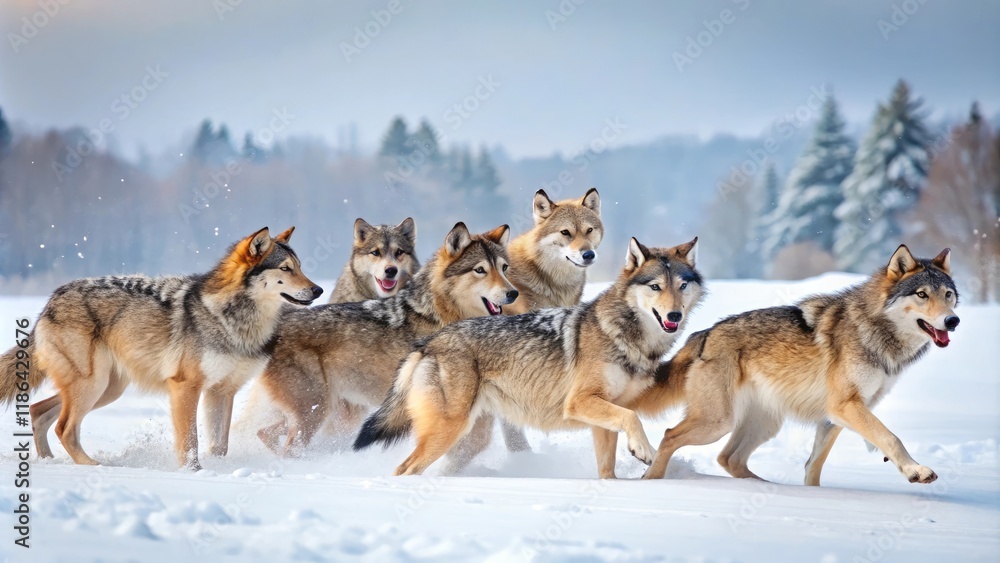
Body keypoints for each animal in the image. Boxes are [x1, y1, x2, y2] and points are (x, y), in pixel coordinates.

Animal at [0, 227, 321, 468]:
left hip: (106, 390)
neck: (235, 319)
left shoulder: (222, 392)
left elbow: (220, 446)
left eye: (301, 268)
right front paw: (193, 472)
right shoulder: (185, 387)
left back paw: (48, 461)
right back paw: (96, 467)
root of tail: (50, 301)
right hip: (93, 385)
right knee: (64, 427)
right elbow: (189, 441)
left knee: (38, 410)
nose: (317, 290)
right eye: (285, 268)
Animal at [253, 223, 519, 455]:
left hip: (324, 413)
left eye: (504, 268)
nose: (513, 293)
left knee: (263, 433)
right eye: (480, 270)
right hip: (315, 413)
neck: (440, 314)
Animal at [354, 237, 703, 478]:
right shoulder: (580, 402)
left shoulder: (605, 416)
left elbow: (608, 470)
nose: (674, 315)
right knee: (405, 469)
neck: (625, 335)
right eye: (655, 287)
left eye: (682, 286)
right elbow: (633, 419)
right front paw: (645, 450)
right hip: (449, 430)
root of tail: (428, 342)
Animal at [634, 245, 959, 486]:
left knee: (729, 458)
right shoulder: (846, 406)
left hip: (764, 424)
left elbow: (813, 466)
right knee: (670, 436)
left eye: (948, 295)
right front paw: (917, 471)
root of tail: (703, 334)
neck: (875, 330)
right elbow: (890, 438)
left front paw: (812, 494)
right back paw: (652, 480)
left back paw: (766, 486)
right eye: (922, 294)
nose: (953, 320)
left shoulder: (833, 418)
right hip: (717, 422)